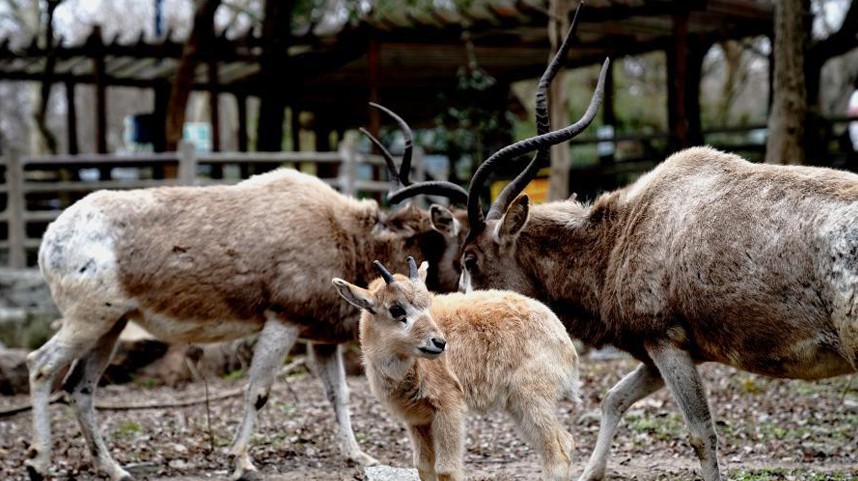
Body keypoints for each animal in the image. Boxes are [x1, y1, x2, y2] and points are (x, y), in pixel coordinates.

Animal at [25, 107, 468, 480]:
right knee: (41, 365)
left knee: (79, 387)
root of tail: (51, 237)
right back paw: (37, 462)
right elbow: (258, 390)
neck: (343, 233)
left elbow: (338, 395)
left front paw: (358, 456)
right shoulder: (282, 322)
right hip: (88, 319)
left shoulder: (320, 339)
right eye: (463, 242)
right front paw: (241, 460)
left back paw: (114, 469)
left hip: (111, 325)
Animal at [332, 256, 580, 480]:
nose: (439, 343)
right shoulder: (417, 419)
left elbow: (446, 469)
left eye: (427, 304)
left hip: (532, 398)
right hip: (518, 405)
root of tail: (563, 337)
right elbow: (423, 466)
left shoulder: (448, 406)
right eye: (396, 309)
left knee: (558, 451)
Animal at [458, 4, 856, 480]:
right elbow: (614, 398)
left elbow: (701, 433)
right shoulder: (664, 351)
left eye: (470, 259)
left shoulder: (665, 340)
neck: (620, 235)